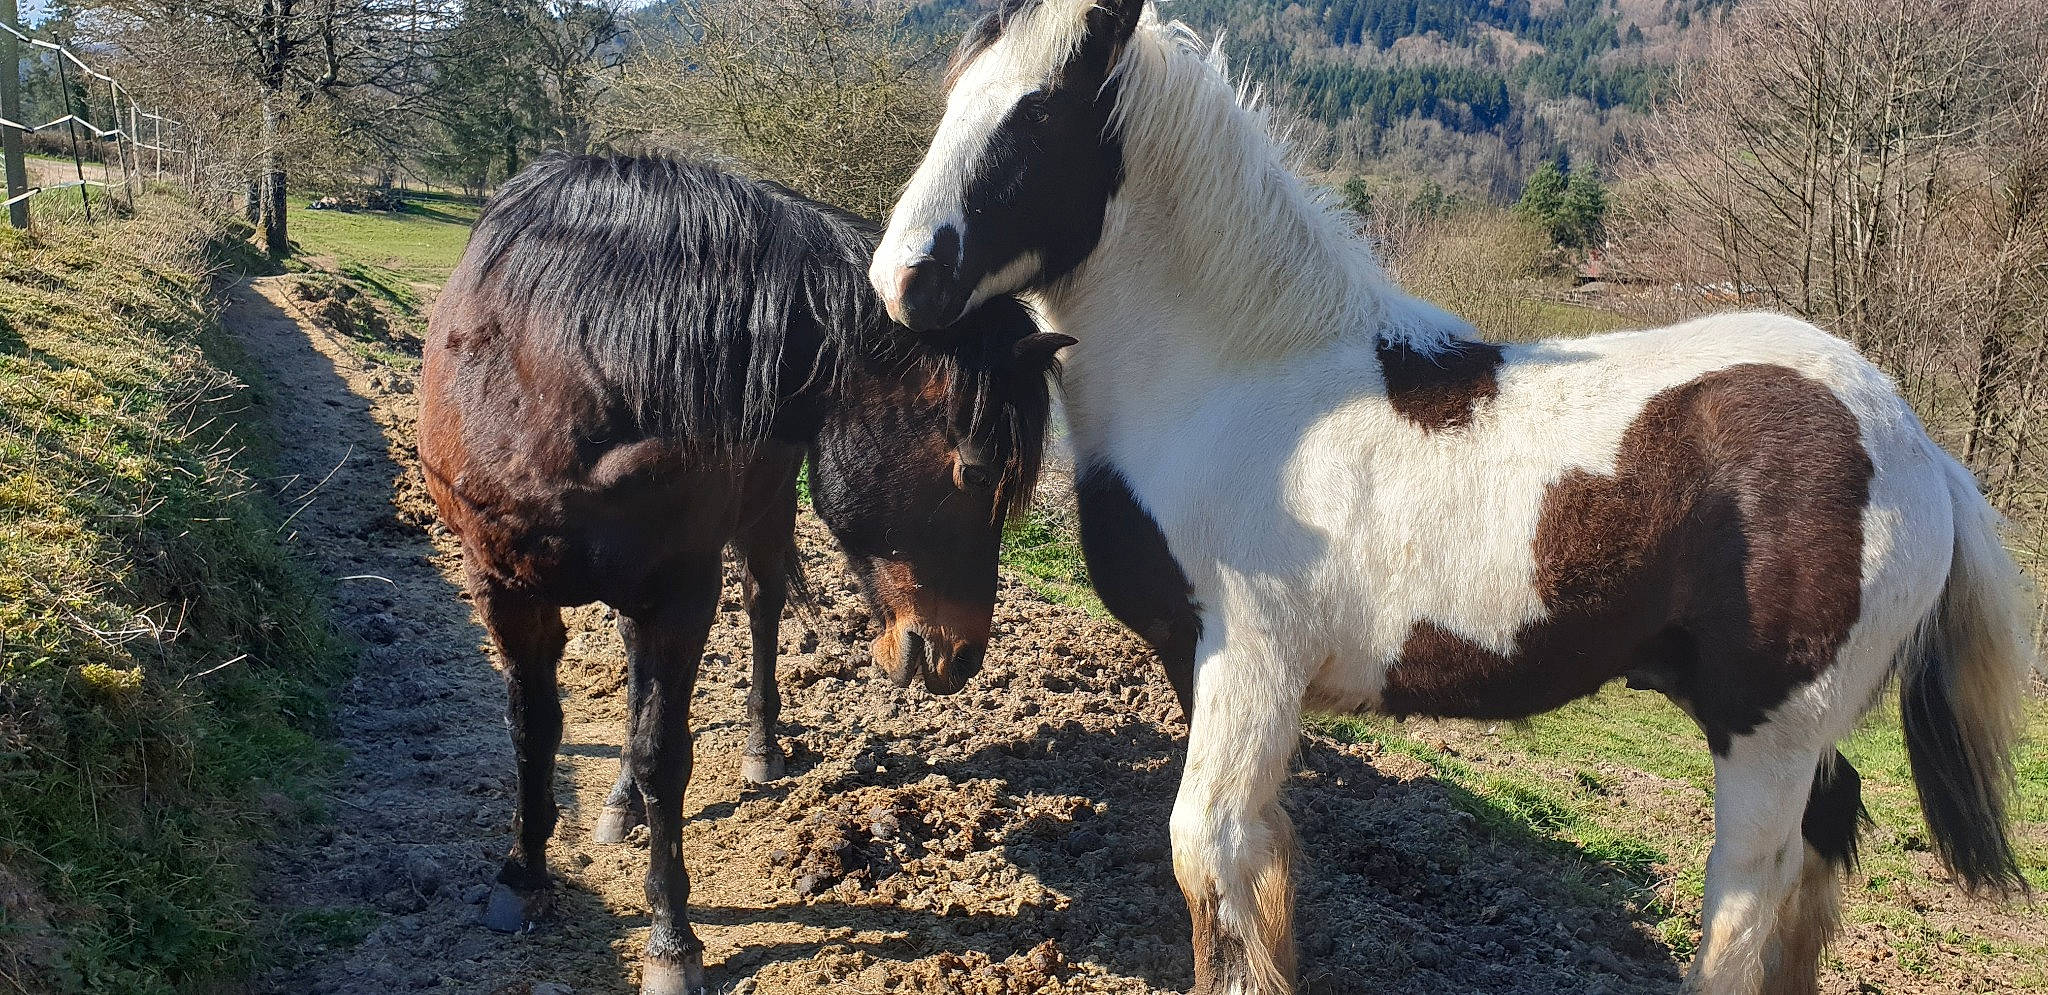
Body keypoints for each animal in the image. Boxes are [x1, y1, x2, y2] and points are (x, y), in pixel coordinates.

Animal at [418, 151, 1070, 995]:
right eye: (974, 469)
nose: (959, 657)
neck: (562, 375)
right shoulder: (502, 586)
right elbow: (535, 729)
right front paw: (521, 875)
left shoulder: (683, 591)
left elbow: (665, 754)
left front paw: (671, 941)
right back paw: (618, 804)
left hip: (757, 517)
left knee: (761, 608)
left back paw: (759, 749)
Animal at [866, 3, 2035, 993]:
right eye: (953, 93)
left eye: (1038, 113)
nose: (899, 282)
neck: (1239, 381)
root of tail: (1915, 443)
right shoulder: (1202, 667)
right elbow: (1255, 859)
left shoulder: (1250, 661)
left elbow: (1210, 854)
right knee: (1822, 850)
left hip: (1767, 731)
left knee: (1748, 897)